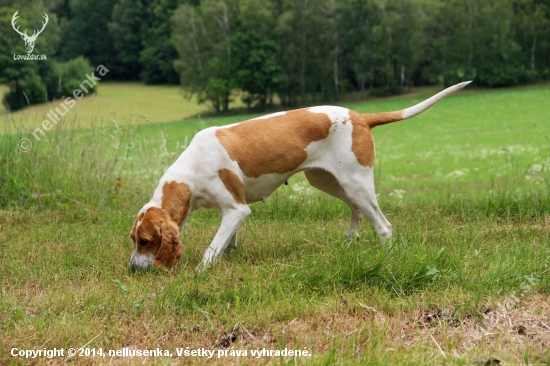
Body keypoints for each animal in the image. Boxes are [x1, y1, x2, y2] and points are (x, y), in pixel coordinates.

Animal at [129, 81, 470, 270]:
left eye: (145, 242)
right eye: (133, 240)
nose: (132, 269)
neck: (190, 173)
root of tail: (360, 116)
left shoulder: (237, 209)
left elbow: (213, 248)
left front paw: (202, 271)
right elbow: (226, 242)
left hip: (355, 183)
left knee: (384, 226)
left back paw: (386, 256)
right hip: (328, 181)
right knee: (358, 210)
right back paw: (351, 241)